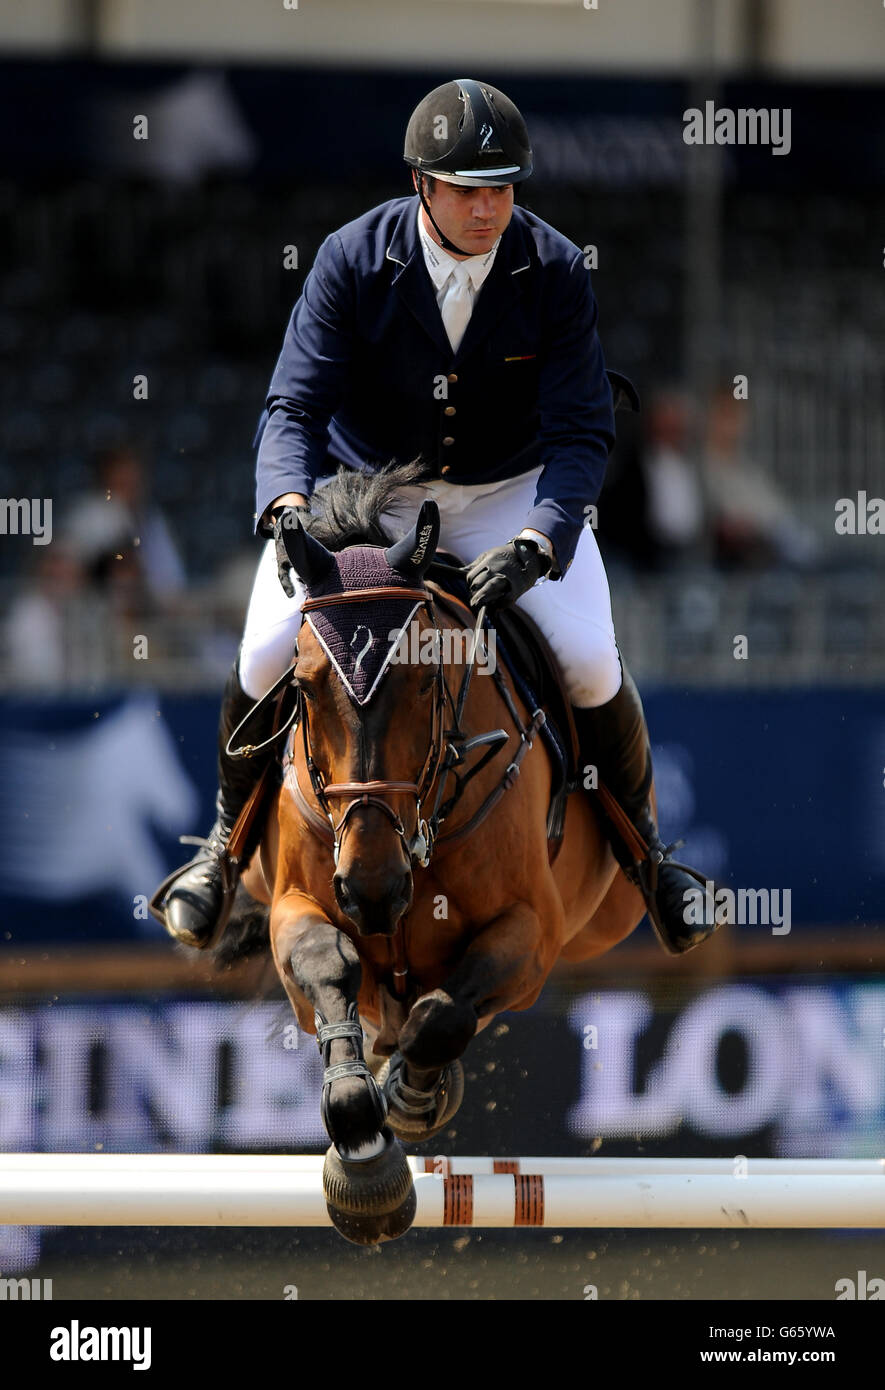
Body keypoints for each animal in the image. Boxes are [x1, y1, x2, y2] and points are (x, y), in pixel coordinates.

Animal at [220, 461, 650, 1245]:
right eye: (302, 688)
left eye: (427, 681)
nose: (372, 888)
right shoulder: (295, 910)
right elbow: (328, 966)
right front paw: (365, 1157)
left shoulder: (533, 932)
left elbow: (443, 1016)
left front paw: (413, 1102)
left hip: (607, 916)